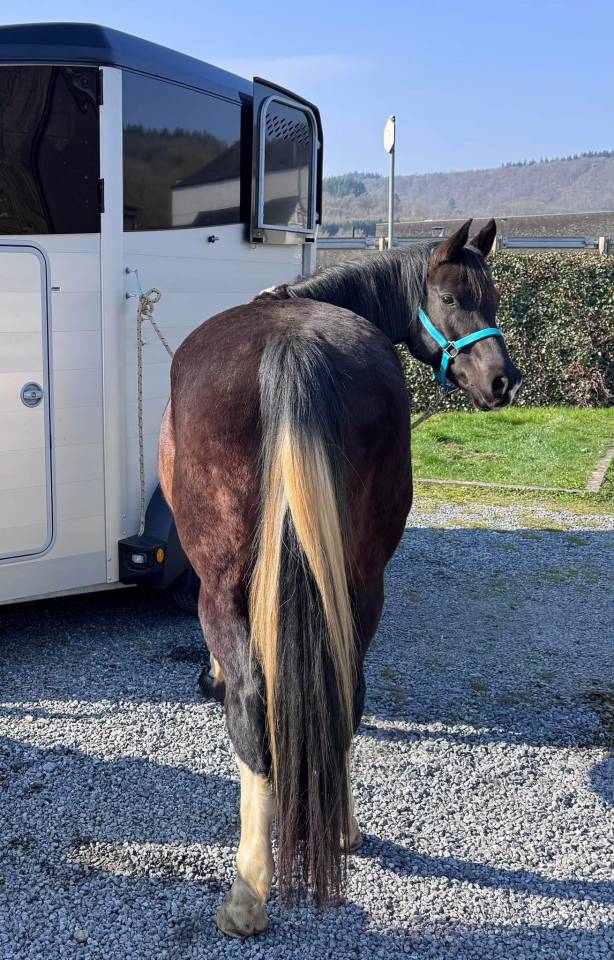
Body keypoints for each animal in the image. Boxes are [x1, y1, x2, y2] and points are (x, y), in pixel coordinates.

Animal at [158, 217, 522, 938]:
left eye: (489, 299)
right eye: (453, 299)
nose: (504, 380)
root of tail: (292, 345)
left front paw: (211, 678)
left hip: (225, 587)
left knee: (253, 709)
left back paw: (249, 890)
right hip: (362, 581)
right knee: (346, 690)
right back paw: (345, 828)